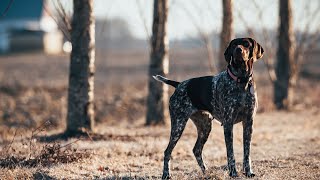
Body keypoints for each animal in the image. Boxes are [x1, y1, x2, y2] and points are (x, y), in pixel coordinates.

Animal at [154, 37, 264, 178]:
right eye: (234, 44)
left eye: (246, 44)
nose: (238, 50)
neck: (242, 81)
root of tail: (179, 84)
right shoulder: (228, 124)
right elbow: (231, 154)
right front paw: (233, 173)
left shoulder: (249, 122)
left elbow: (247, 152)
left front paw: (248, 172)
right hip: (178, 126)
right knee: (167, 151)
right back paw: (166, 174)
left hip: (205, 126)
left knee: (196, 150)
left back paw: (206, 172)